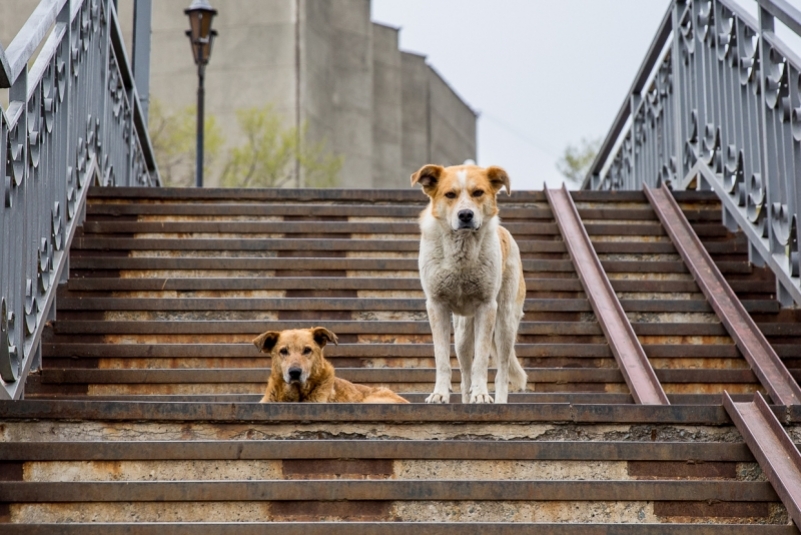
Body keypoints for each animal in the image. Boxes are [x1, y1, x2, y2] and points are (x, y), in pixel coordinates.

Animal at [412, 165, 524, 404]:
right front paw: (439, 394)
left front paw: (481, 394)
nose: (465, 215)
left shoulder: (487, 307)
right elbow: (442, 359)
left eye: (478, 192)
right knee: (464, 372)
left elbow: (481, 359)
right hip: (463, 335)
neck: (461, 249)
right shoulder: (436, 306)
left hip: (505, 323)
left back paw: (499, 401)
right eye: (450, 195)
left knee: (502, 370)